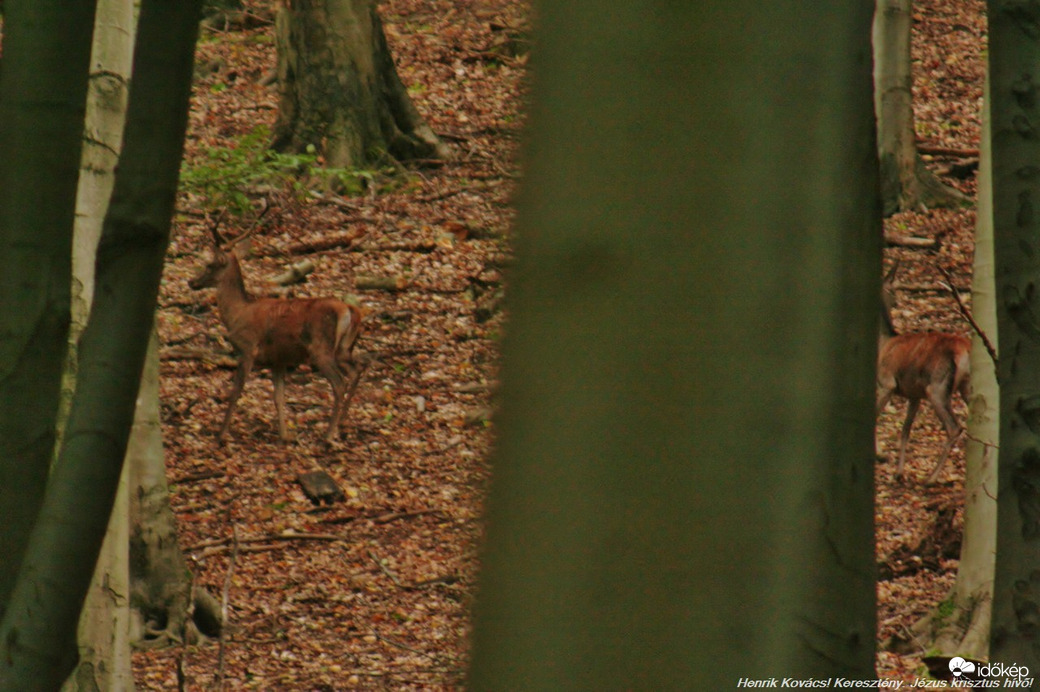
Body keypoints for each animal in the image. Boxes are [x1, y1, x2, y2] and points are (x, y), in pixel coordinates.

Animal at [189, 213, 364, 445]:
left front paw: (222, 434)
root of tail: (348, 310)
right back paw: (341, 425)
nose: (191, 282)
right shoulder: (278, 360)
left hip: (321, 348)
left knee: (339, 383)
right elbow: (279, 397)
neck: (236, 314)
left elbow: (236, 391)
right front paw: (285, 435)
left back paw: (328, 435)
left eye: (209, 264)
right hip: (344, 349)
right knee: (356, 371)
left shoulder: (248, 347)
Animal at [873, 262, 969, 482]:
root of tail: (965, 350)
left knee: (955, 427)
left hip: (938, 386)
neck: (884, 343)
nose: (897, 301)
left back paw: (931, 478)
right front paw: (899, 472)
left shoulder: (886, 382)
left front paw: (880, 456)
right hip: (966, 386)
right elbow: (905, 429)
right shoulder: (913, 394)